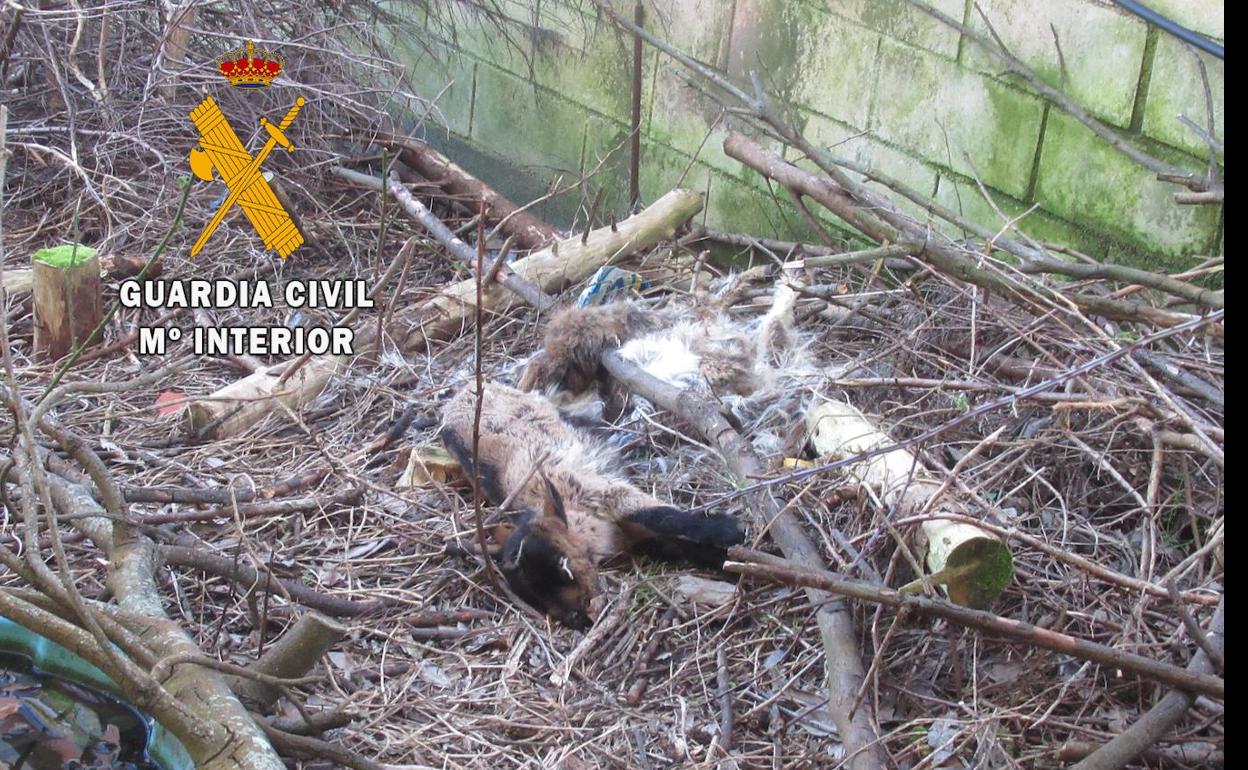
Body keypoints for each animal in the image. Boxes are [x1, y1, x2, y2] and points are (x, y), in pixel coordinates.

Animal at [440, 382, 744, 629]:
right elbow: (675, 545)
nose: (578, 619)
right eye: (532, 596)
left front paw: (731, 532)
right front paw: (726, 557)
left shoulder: (601, 492)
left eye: (564, 568)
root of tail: (461, 394)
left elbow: (661, 516)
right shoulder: (632, 533)